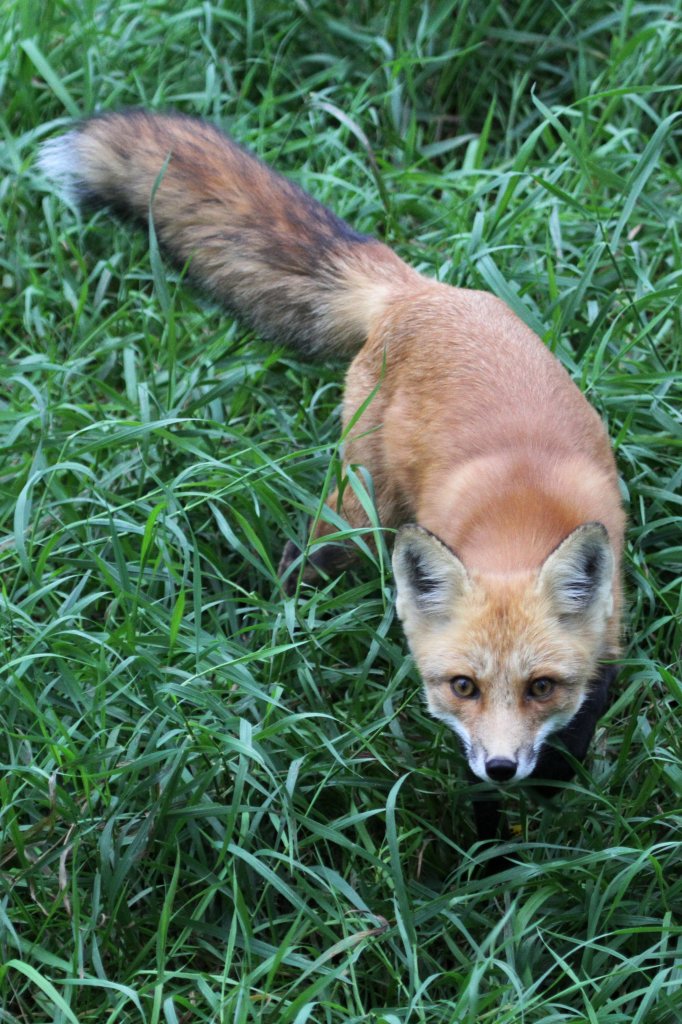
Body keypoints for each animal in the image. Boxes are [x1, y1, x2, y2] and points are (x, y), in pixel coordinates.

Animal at [37, 108, 622, 786]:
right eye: (463, 687)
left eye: (542, 687)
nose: (500, 767)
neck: (519, 511)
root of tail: (416, 291)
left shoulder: (610, 631)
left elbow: (580, 726)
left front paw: (552, 788)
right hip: (357, 516)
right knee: (299, 558)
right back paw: (274, 635)